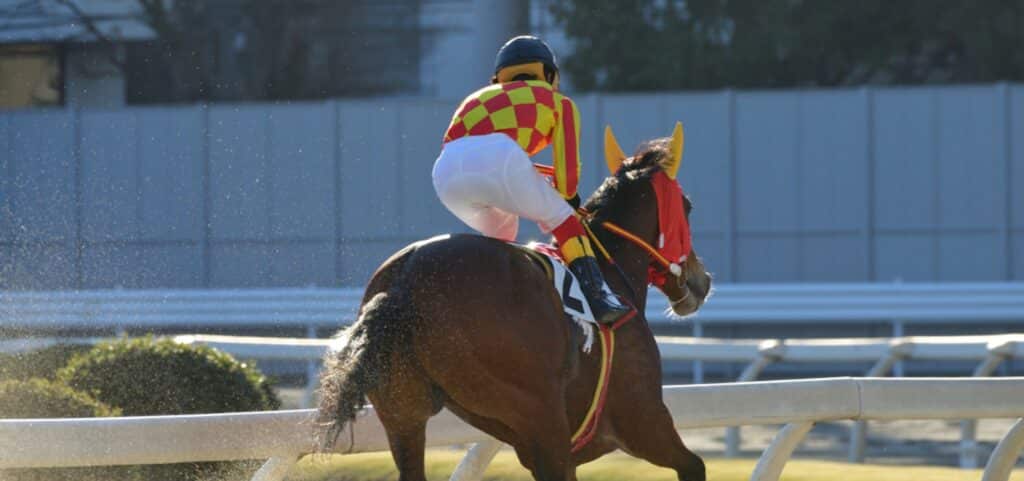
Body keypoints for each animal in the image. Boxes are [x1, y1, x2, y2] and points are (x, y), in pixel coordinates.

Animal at [316, 123, 713, 481]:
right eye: (688, 205)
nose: (701, 280)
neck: (610, 269)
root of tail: (404, 281)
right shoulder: (642, 419)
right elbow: (694, 465)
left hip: (403, 414)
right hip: (541, 415)